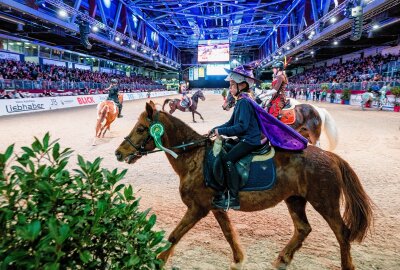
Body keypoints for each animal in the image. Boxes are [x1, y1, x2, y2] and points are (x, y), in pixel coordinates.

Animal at [114, 100, 374, 270]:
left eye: (140, 129)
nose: (118, 153)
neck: (194, 159)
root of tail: (330, 156)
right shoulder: (216, 207)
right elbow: (229, 233)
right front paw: (238, 260)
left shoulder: (198, 208)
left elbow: (174, 235)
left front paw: (157, 261)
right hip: (295, 200)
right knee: (303, 228)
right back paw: (282, 259)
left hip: (324, 202)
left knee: (342, 233)